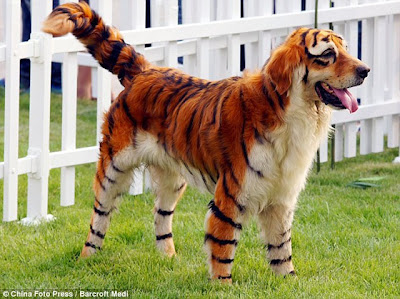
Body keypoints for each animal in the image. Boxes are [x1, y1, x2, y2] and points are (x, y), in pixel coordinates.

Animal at [42, 2, 370, 284]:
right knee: (99, 216)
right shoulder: (232, 194)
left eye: (346, 49)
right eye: (328, 54)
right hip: (113, 168)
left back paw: (168, 259)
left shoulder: (282, 196)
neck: (295, 114)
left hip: (172, 179)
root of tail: (145, 70)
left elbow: (281, 247)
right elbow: (224, 246)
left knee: (161, 216)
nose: (366, 70)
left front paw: (288, 282)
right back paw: (87, 258)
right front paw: (223, 286)